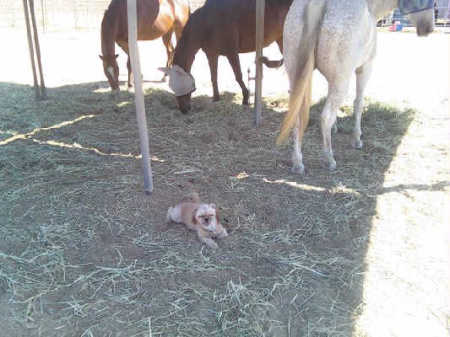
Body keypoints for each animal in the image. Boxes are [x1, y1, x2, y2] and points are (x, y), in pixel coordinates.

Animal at [160, 0, 294, 113]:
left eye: (181, 84)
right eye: (172, 86)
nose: (184, 109)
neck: (207, 23)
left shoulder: (231, 53)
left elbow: (238, 76)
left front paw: (246, 97)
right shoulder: (212, 55)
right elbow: (213, 77)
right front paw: (216, 98)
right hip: (281, 39)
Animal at [280, 0, 434, 173]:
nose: (428, 27)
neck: (371, 8)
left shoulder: (331, 79)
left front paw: (336, 128)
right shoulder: (365, 68)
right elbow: (359, 103)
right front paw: (357, 139)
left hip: (298, 76)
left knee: (296, 116)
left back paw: (298, 163)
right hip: (342, 79)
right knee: (325, 117)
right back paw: (329, 159)